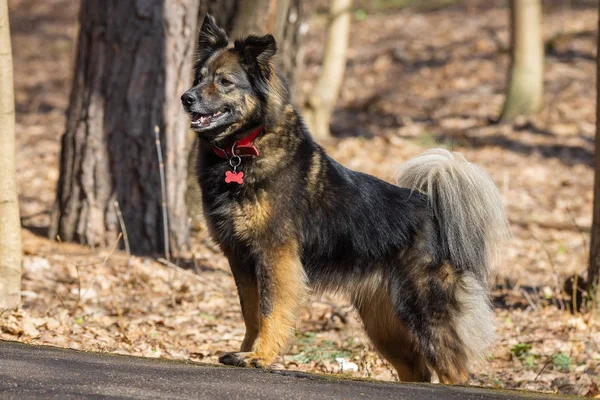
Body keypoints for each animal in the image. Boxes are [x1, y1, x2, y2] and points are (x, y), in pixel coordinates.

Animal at [180, 14, 508, 384]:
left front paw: (260, 356)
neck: (242, 149)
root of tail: (431, 208)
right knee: (419, 371)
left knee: (454, 368)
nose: (186, 98)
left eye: (224, 82)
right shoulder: (240, 257)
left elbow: (269, 311)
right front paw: (247, 350)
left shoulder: (275, 256)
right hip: (384, 323)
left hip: (424, 308)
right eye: (200, 77)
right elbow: (251, 312)